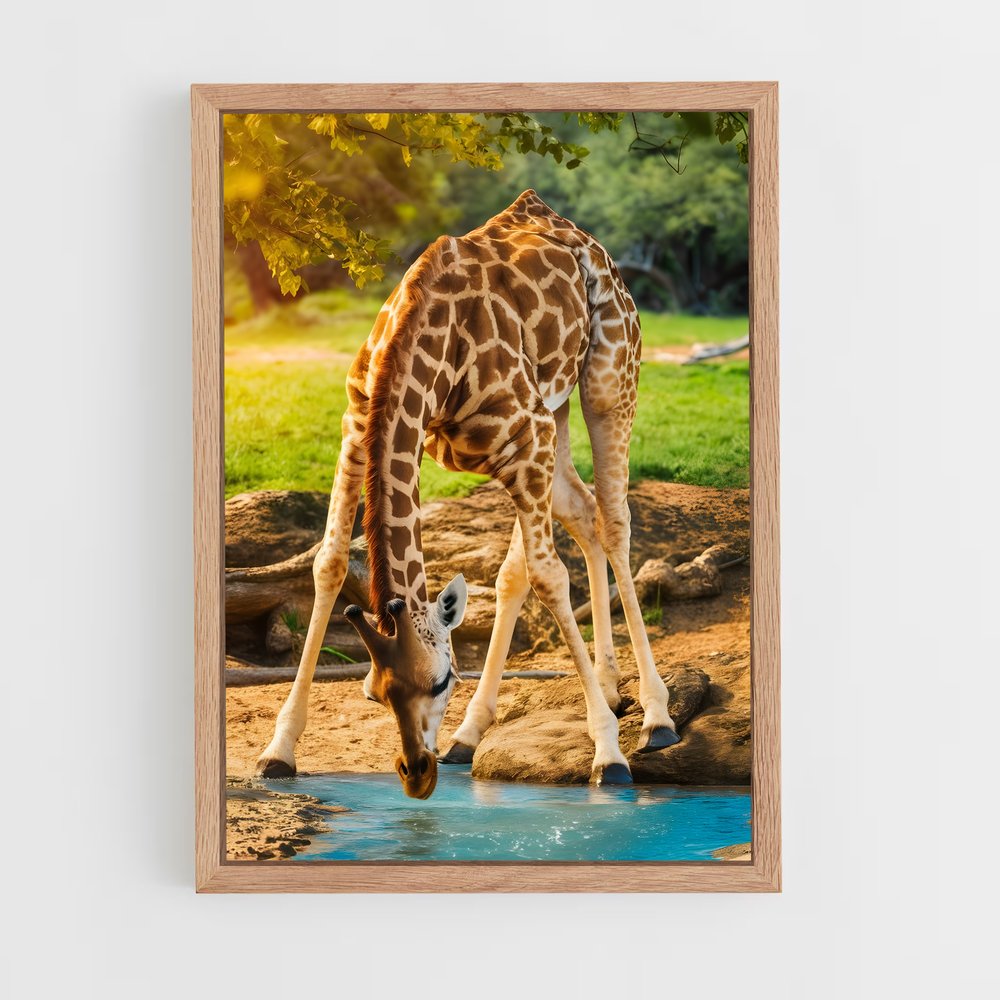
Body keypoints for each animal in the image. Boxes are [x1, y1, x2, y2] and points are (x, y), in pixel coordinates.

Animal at [255, 189, 679, 799]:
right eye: (373, 693)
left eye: (442, 681)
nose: (416, 774)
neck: (426, 344)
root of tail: (577, 233)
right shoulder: (358, 427)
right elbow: (328, 563)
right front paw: (278, 750)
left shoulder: (526, 438)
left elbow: (550, 577)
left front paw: (608, 755)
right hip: (553, 414)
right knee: (578, 517)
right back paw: (517, 717)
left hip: (607, 382)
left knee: (612, 521)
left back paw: (655, 716)